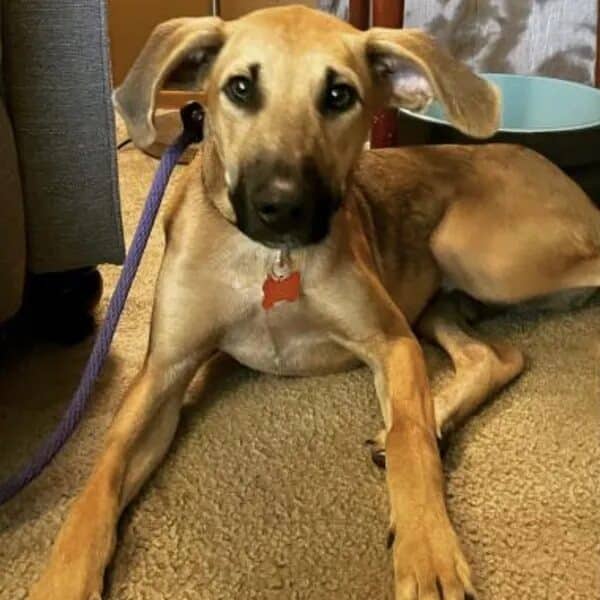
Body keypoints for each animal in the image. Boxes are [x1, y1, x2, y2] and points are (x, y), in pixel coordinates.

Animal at [29, 5, 600, 600]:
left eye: (339, 96)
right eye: (239, 88)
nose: (283, 207)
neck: (267, 260)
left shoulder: (391, 341)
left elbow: (411, 441)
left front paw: (429, 551)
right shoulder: (164, 371)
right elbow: (104, 471)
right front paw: (64, 576)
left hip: (477, 255)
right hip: (435, 299)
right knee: (495, 356)